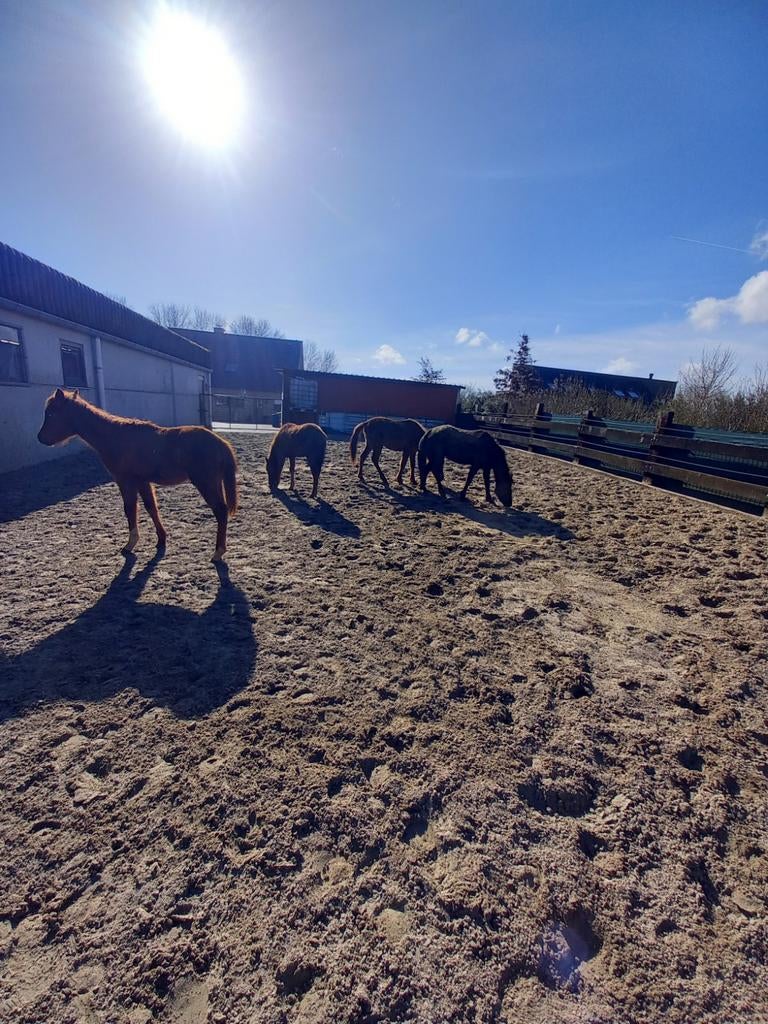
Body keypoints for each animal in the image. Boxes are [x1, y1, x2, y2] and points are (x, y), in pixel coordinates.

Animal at [37, 388, 238, 561]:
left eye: (51, 414)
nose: (40, 438)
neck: (116, 437)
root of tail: (221, 443)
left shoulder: (125, 481)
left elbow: (130, 509)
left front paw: (130, 544)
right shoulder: (142, 481)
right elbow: (151, 507)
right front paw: (161, 539)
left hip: (206, 483)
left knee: (220, 511)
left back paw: (218, 552)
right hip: (214, 483)